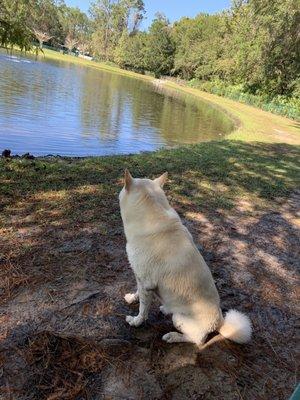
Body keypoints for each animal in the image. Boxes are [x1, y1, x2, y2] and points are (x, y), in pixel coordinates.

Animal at [118, 170, 252, 346]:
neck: (152, 215)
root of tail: (220, 322)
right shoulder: (140, 277)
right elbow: (137, 292)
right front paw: (132, 298)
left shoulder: (146, 283)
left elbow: (143, 307)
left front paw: (136, 321)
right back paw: (164, 308)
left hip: (179, 319)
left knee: (197, 340)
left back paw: (173, 336)